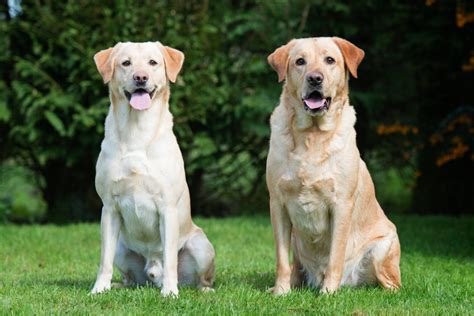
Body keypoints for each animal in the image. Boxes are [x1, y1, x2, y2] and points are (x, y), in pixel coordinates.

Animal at [90, 41, 215, 296]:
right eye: (126, 63)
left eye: (152, 62)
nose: (140, 77)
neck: (137, 132)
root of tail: (151, 272)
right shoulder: (109, 208)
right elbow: (104, 259)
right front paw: (99, 289)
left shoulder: (167, 208)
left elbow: (170, 258)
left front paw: (170, 292)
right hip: (121, 246)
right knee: (128, 276)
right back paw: (117, 285)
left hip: (201, 246)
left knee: (199, 278)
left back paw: (200, 289)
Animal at [266, 38, 400, 296]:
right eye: (300, 61)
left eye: (330, 60)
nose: (315, 78)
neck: (312, 135)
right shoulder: (277, 203)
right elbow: (281, 259)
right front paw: (280, 291)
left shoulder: (341, 205)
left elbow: (335, 256)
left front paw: (328, 293)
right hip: (296, 241)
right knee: (295, 267)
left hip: (382, 247)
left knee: (392, 284)